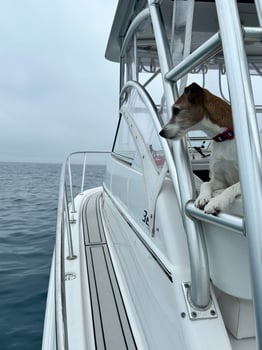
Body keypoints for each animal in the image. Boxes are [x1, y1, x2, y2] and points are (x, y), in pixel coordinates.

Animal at [159, 82, 241, 213]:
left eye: (176, 110)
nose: (161, 133)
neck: (225, 137)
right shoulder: (220, 180)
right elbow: (205, 183)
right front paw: (202, 198)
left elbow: (232, 187)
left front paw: (217, 202)